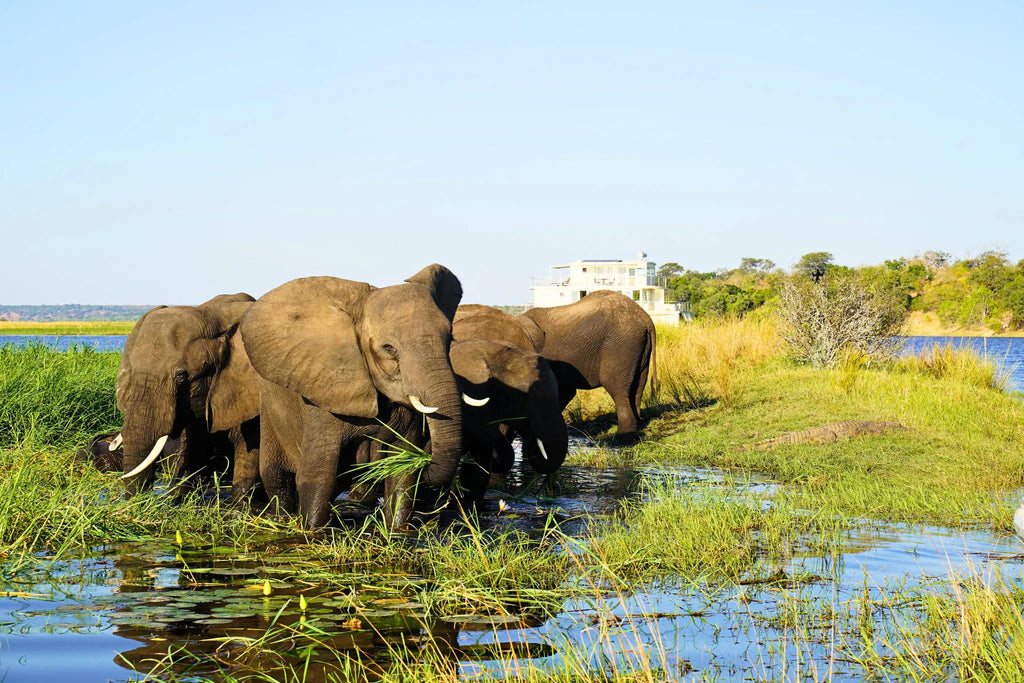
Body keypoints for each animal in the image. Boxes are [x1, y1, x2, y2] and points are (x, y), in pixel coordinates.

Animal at [237, 264, 465, 529]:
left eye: (450, 340)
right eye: (389, 348)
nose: (426, 459)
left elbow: (401, 476)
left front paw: (398, 530)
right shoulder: (324, 396)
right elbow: (318, 477)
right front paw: (312, 530)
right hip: (270, 410)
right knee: (277, 478)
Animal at [453, 290, 657, 439]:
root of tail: (646, 320)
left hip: (620, 345)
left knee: (617, 387)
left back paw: (622, 437)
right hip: (639, 351)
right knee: (637, 388)